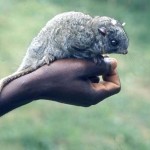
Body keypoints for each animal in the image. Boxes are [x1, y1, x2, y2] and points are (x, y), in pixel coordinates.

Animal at [0, 11, 129, 91]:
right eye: (114, 42)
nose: (126, 52)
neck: (93, 31)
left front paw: (102, 55)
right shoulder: (79, 41)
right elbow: (77, 50)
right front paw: (95, 57)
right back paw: (47, 57)